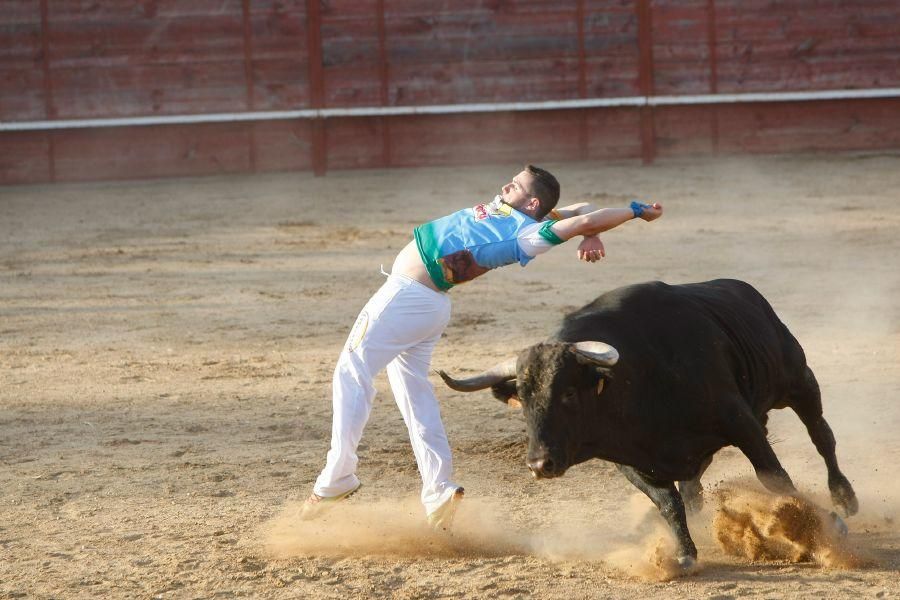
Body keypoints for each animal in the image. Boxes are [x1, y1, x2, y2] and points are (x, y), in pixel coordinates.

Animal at [442, 278, 856, 568]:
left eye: (569, 393)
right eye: (524, 399)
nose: (540, 464)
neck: (637, 378)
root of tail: (747, 293)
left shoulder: (740, 421)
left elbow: (775, 478)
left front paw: (819, 525)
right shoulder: (629, 461)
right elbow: (668, 502)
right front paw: (685, 553)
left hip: (798, 381)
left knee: (822, 436)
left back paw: (844, 497)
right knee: (692, 489)